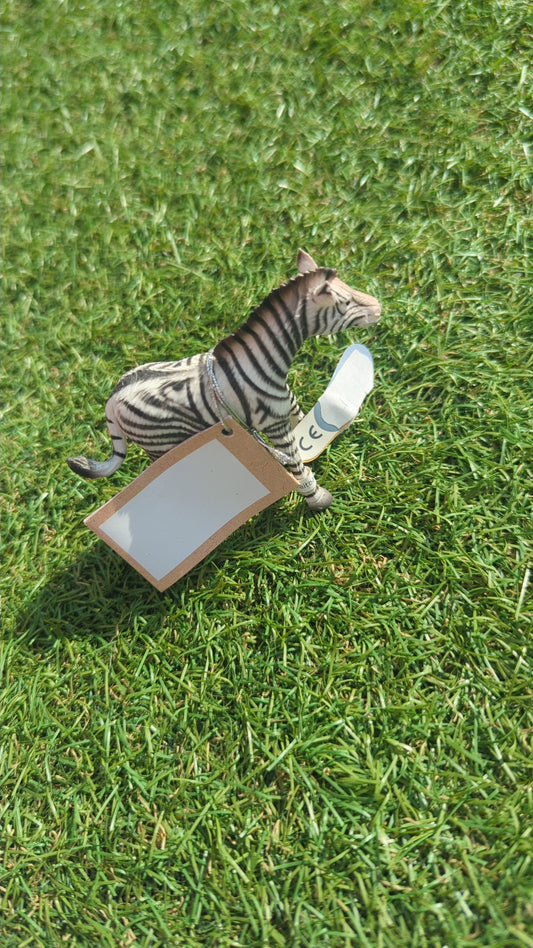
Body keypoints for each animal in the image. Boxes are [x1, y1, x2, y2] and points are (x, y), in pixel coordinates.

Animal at [67, 250, 381, 510]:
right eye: (345, 303)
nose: (379, 307)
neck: (263, 361)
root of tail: (111, 399)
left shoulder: (286, 407)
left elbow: (303, 425)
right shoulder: (274, 424)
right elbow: (295, 464)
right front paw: (318, 499)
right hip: (160, 444)